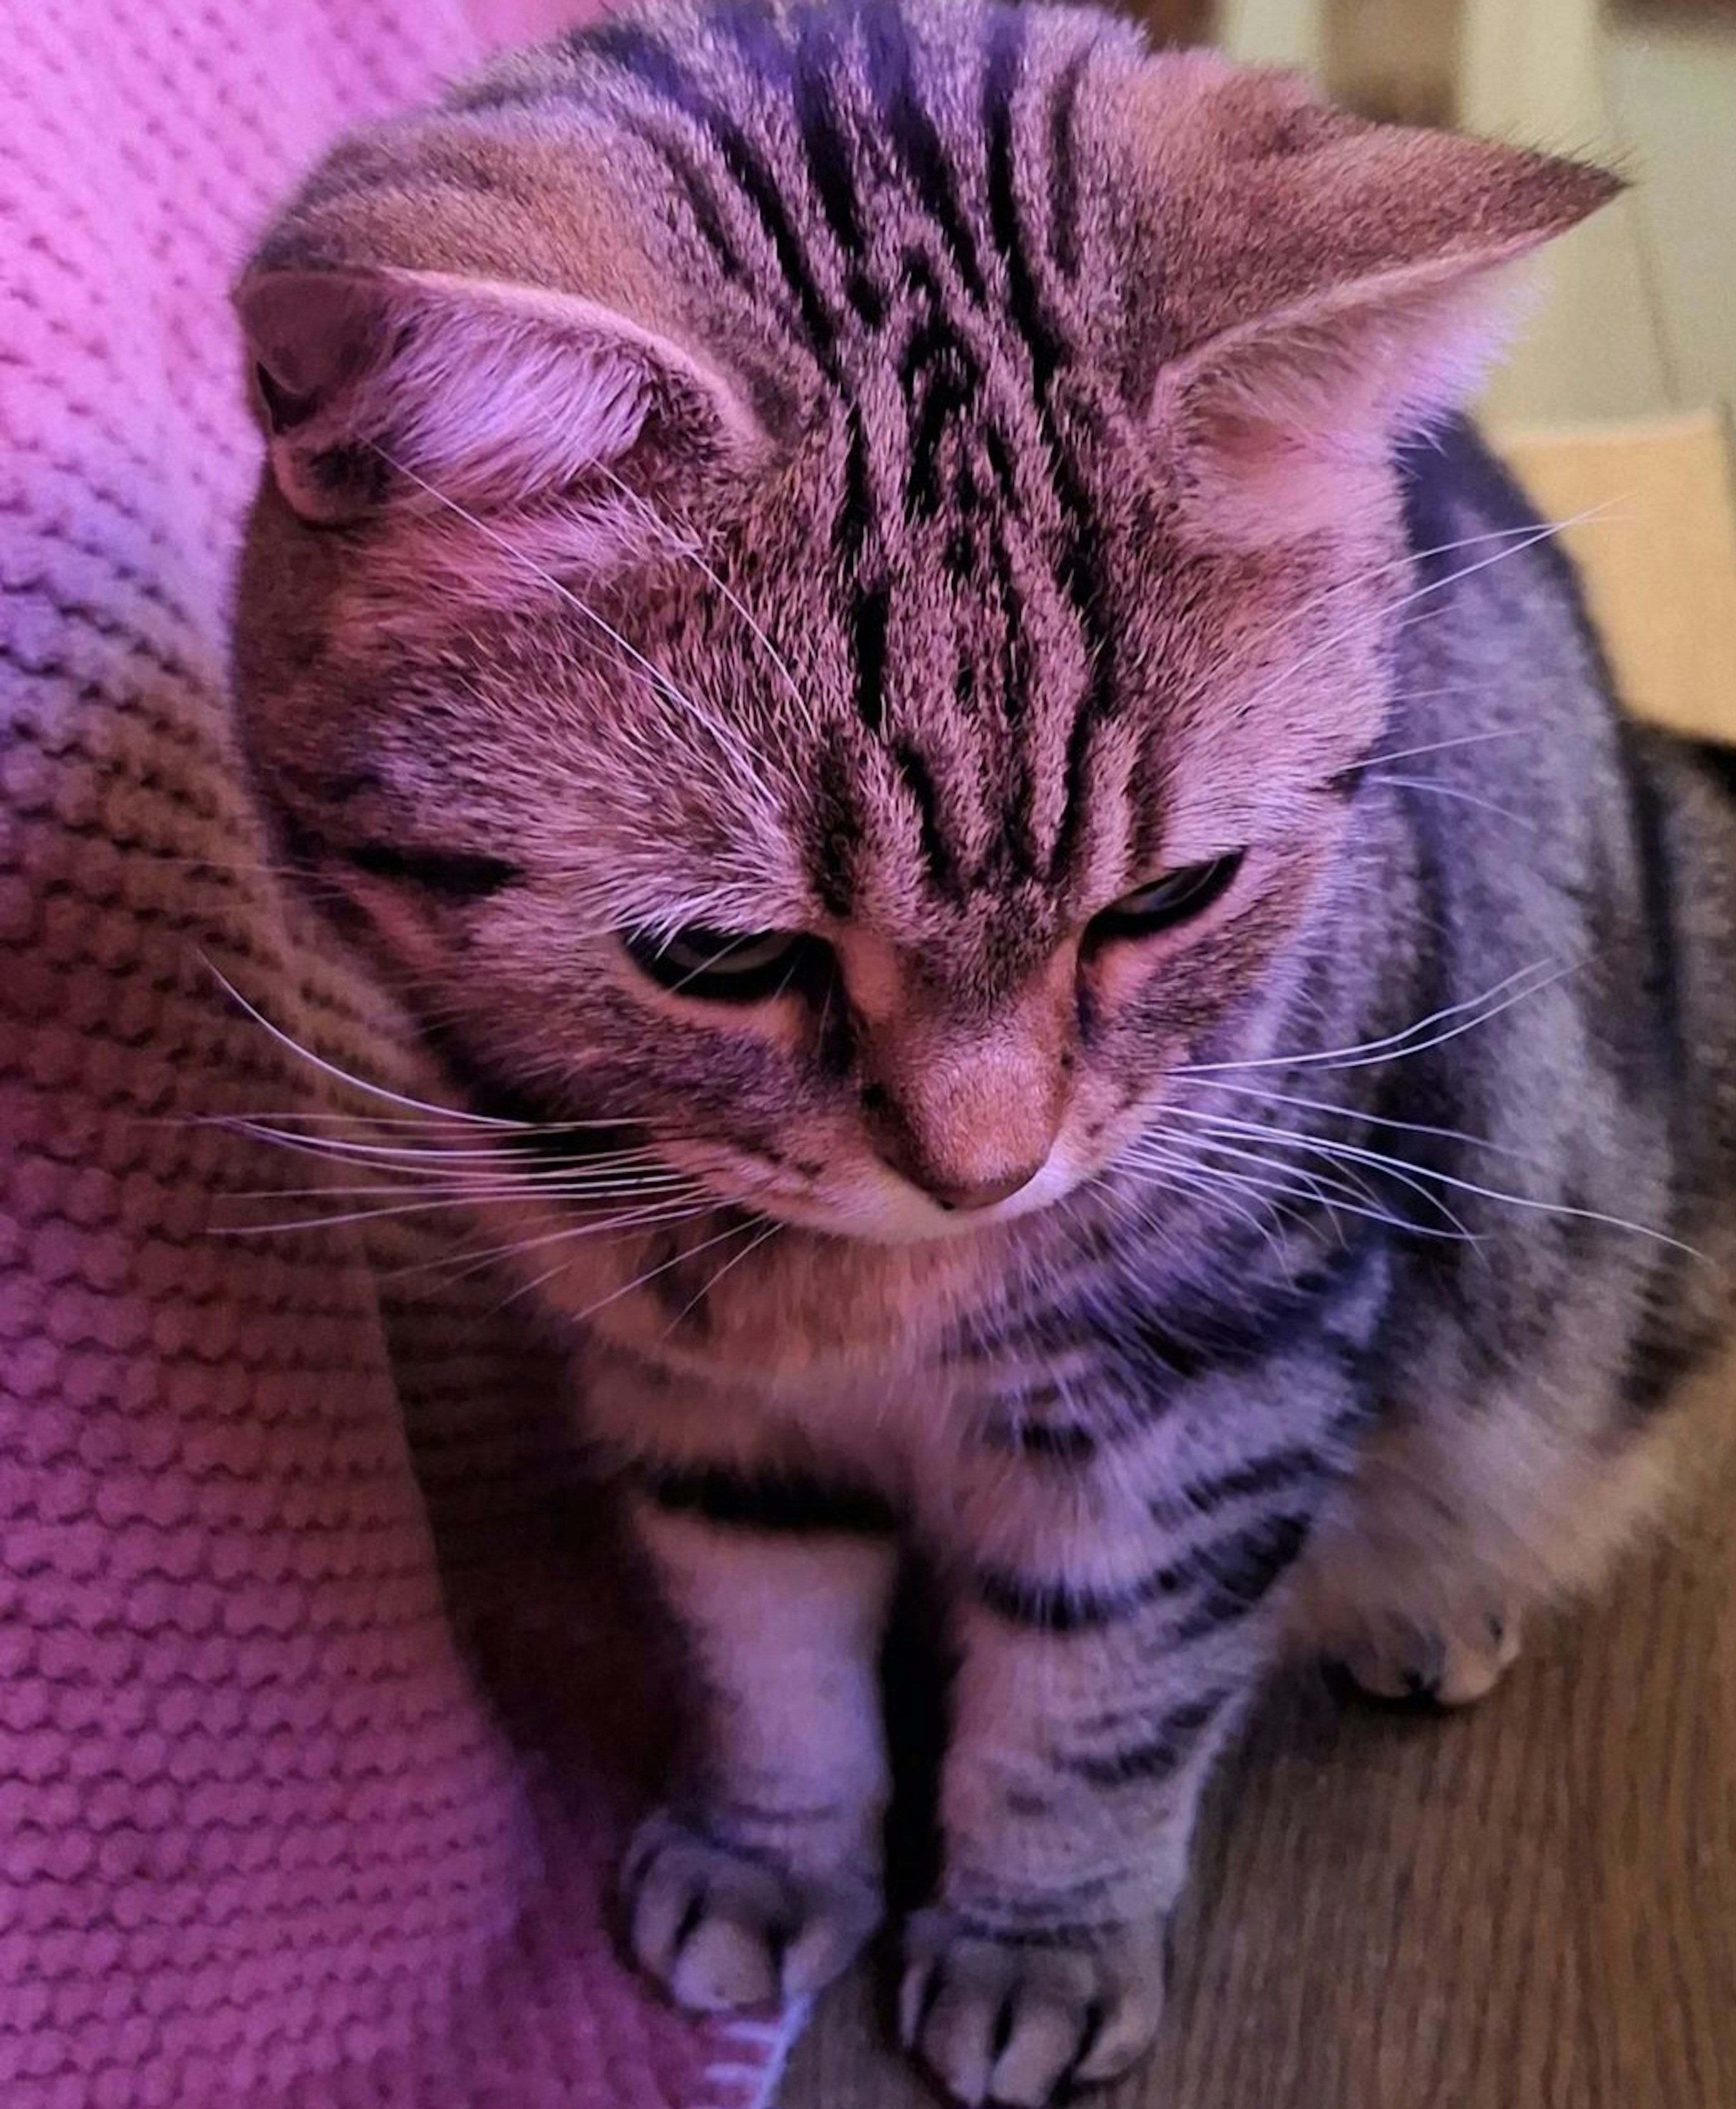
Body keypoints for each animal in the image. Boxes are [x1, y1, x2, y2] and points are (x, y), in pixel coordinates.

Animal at [227, 8, 1736, 2100]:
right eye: (721, 957)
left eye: (1170, 898)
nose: (984, 1166)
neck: (863, 1303)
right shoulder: (694, 1406)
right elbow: (764, 1651)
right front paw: (770, 1853)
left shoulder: (1210, 1389)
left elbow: (1094, 1710)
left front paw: (1037, 1942)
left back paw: (1441, 1600)